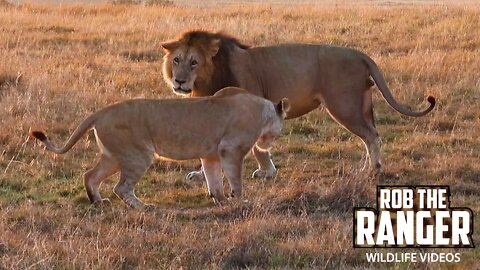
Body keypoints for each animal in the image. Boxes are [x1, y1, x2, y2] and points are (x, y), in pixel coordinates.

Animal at [31, 87, 290, 208]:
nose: (270, 143)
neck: (262, 110)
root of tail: (101, 112)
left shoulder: (211, 155)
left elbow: (214, 180)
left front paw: (220, 201)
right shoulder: (231, 150)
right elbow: (236, 180)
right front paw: (239, 202)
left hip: (113, 156)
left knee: (90, 176)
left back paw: (98, 202)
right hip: (138, 155)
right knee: (121, 187)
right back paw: (144, 207)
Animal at [161, 30, 436, 179]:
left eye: (194, 62)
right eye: (176, 60)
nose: (179, 81)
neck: (210, 77)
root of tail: (359, 54)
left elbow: (258, 148)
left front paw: (267, 172)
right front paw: (201, 175)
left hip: (344, 105)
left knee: (372, 136)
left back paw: (374, 170)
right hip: (361, 105)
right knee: (372, 134)